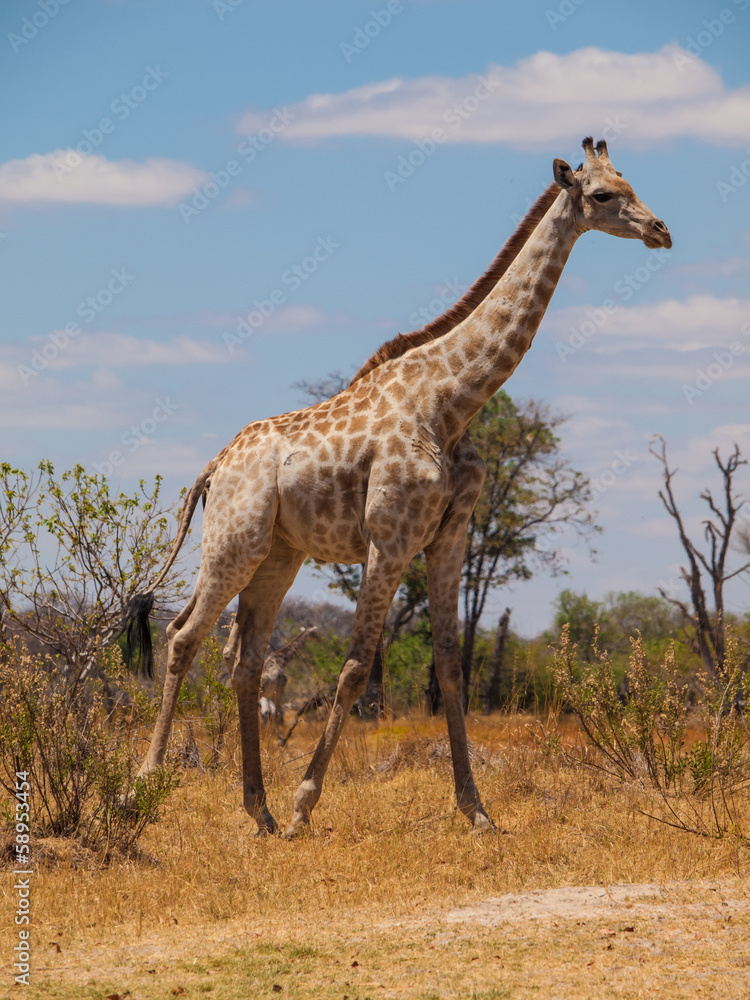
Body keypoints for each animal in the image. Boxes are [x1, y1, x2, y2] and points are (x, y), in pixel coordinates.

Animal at [125, 138, 670, 837]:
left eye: (632, 182)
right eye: (603, 195)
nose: (660, 231)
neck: (452, 400)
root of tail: (215, 465)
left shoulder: (448, 540)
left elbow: (451, 670)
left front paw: (477, 811)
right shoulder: (389, 541)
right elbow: (356, 669)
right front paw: (306, 805)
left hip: (279, 554)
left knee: (245, 661)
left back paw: (259, 810)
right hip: (232, 541)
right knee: (182, 637)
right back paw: (147, 784)